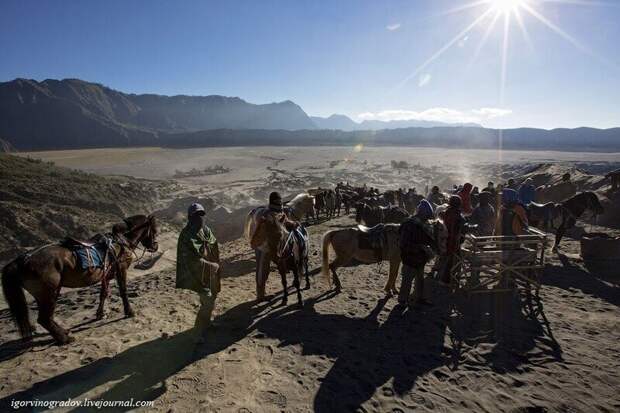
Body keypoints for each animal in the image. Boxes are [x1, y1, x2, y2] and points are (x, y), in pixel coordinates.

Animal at [1, 214, 160, 342]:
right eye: (154, 230)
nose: (155, 246)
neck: (120, 242)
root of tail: (21, 261)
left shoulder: (107, 275)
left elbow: (103, 294)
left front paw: (100, 314)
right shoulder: (121, 270)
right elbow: (123, 291)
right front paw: (129, 312)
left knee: (47, 318)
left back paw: (64, 332)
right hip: (49, 292)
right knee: (44, 318)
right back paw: (64, 338)